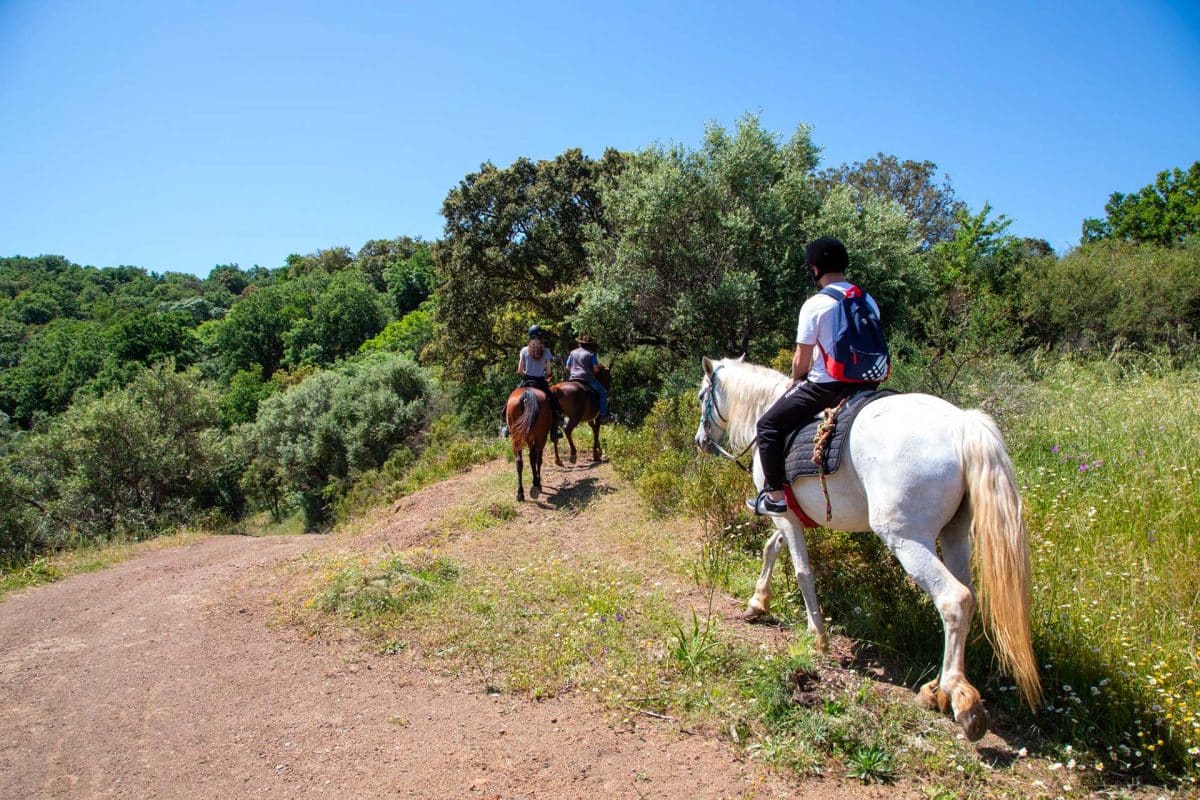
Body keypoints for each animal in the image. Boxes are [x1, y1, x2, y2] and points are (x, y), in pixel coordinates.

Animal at [696, 357, 1041, 738]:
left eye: (702, 396)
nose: (700, 441)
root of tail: (962, 425)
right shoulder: (789, 517)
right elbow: (772, 548)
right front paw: (757, 603)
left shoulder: (782, 512)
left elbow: (801, 571)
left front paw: (817, 636)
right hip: (955, 535)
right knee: (967, 596)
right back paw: (936, 689)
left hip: (906, 538)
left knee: (954, 599)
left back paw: (960, 698)